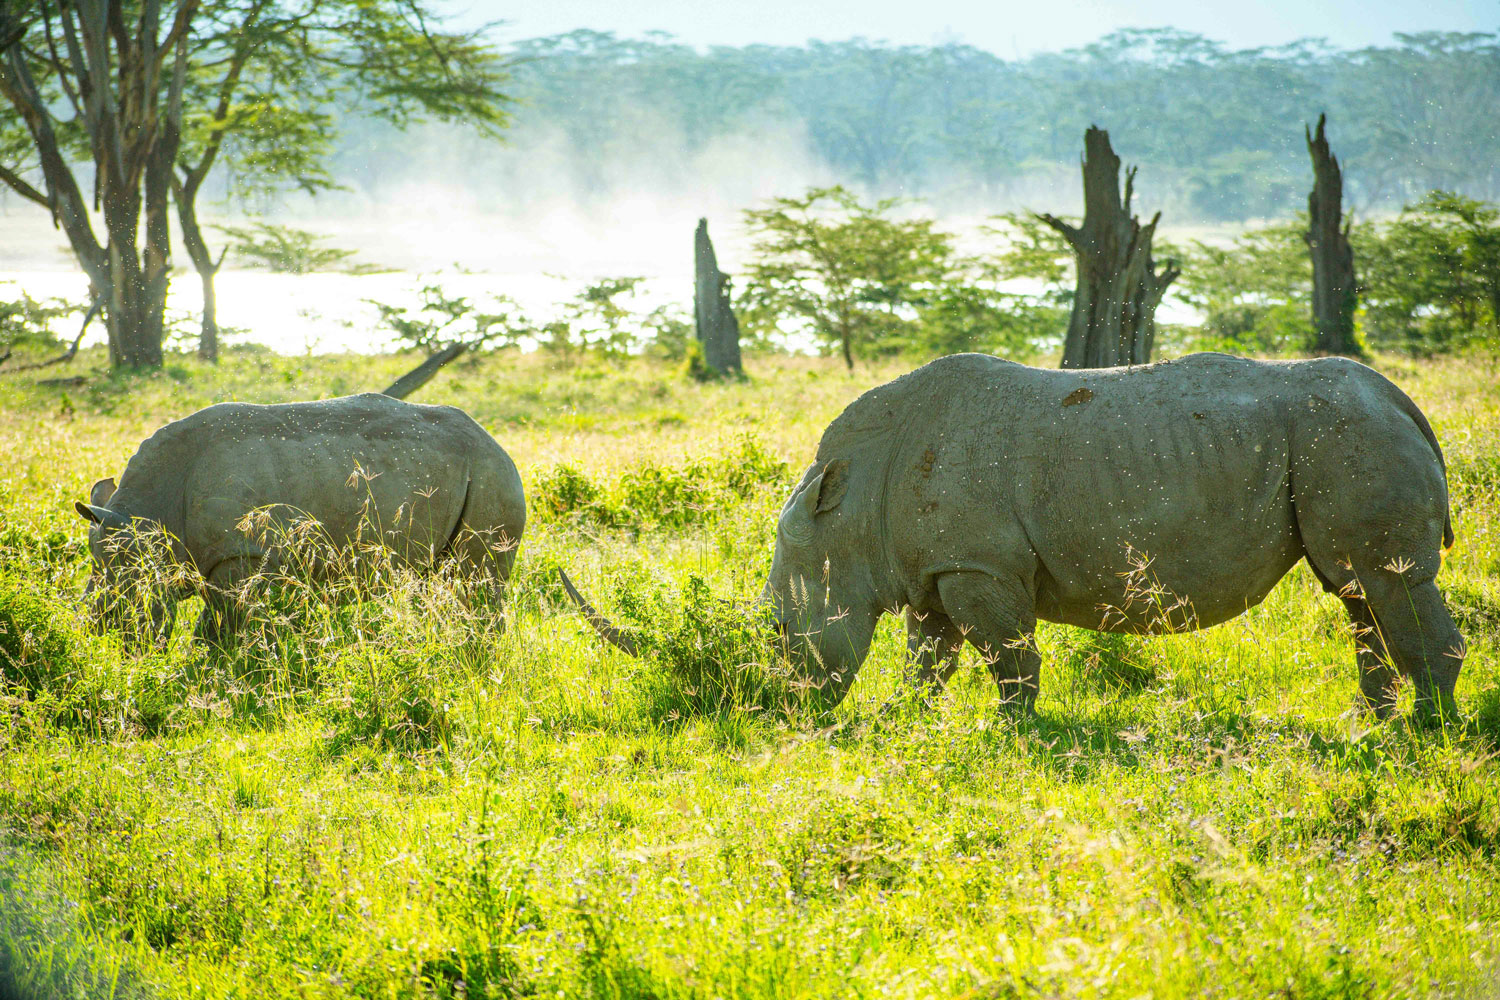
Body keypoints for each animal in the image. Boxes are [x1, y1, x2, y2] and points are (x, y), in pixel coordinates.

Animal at [75, 392, 525, 646]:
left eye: (122, 587)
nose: (96, 630)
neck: (150, 512)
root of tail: (496, 441)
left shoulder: (242, 554)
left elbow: (224, 625)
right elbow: (218, 623)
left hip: (490, 472)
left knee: (475, 580)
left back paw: (474, 656)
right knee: (440, 580)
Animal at [564, 353, 1464, 720]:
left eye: (784, 632)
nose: (773, 712)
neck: (844, 512)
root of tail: (1404, 398)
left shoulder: (978, 565)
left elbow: (1007, 655)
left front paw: (1014, 733)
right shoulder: (930, 570)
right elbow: (929, 661)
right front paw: (903, 721)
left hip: (1348, 436)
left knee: (1385, 580)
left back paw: (1426, 730)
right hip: (1341, 440)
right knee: (1357, 591)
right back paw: (1372, 722)